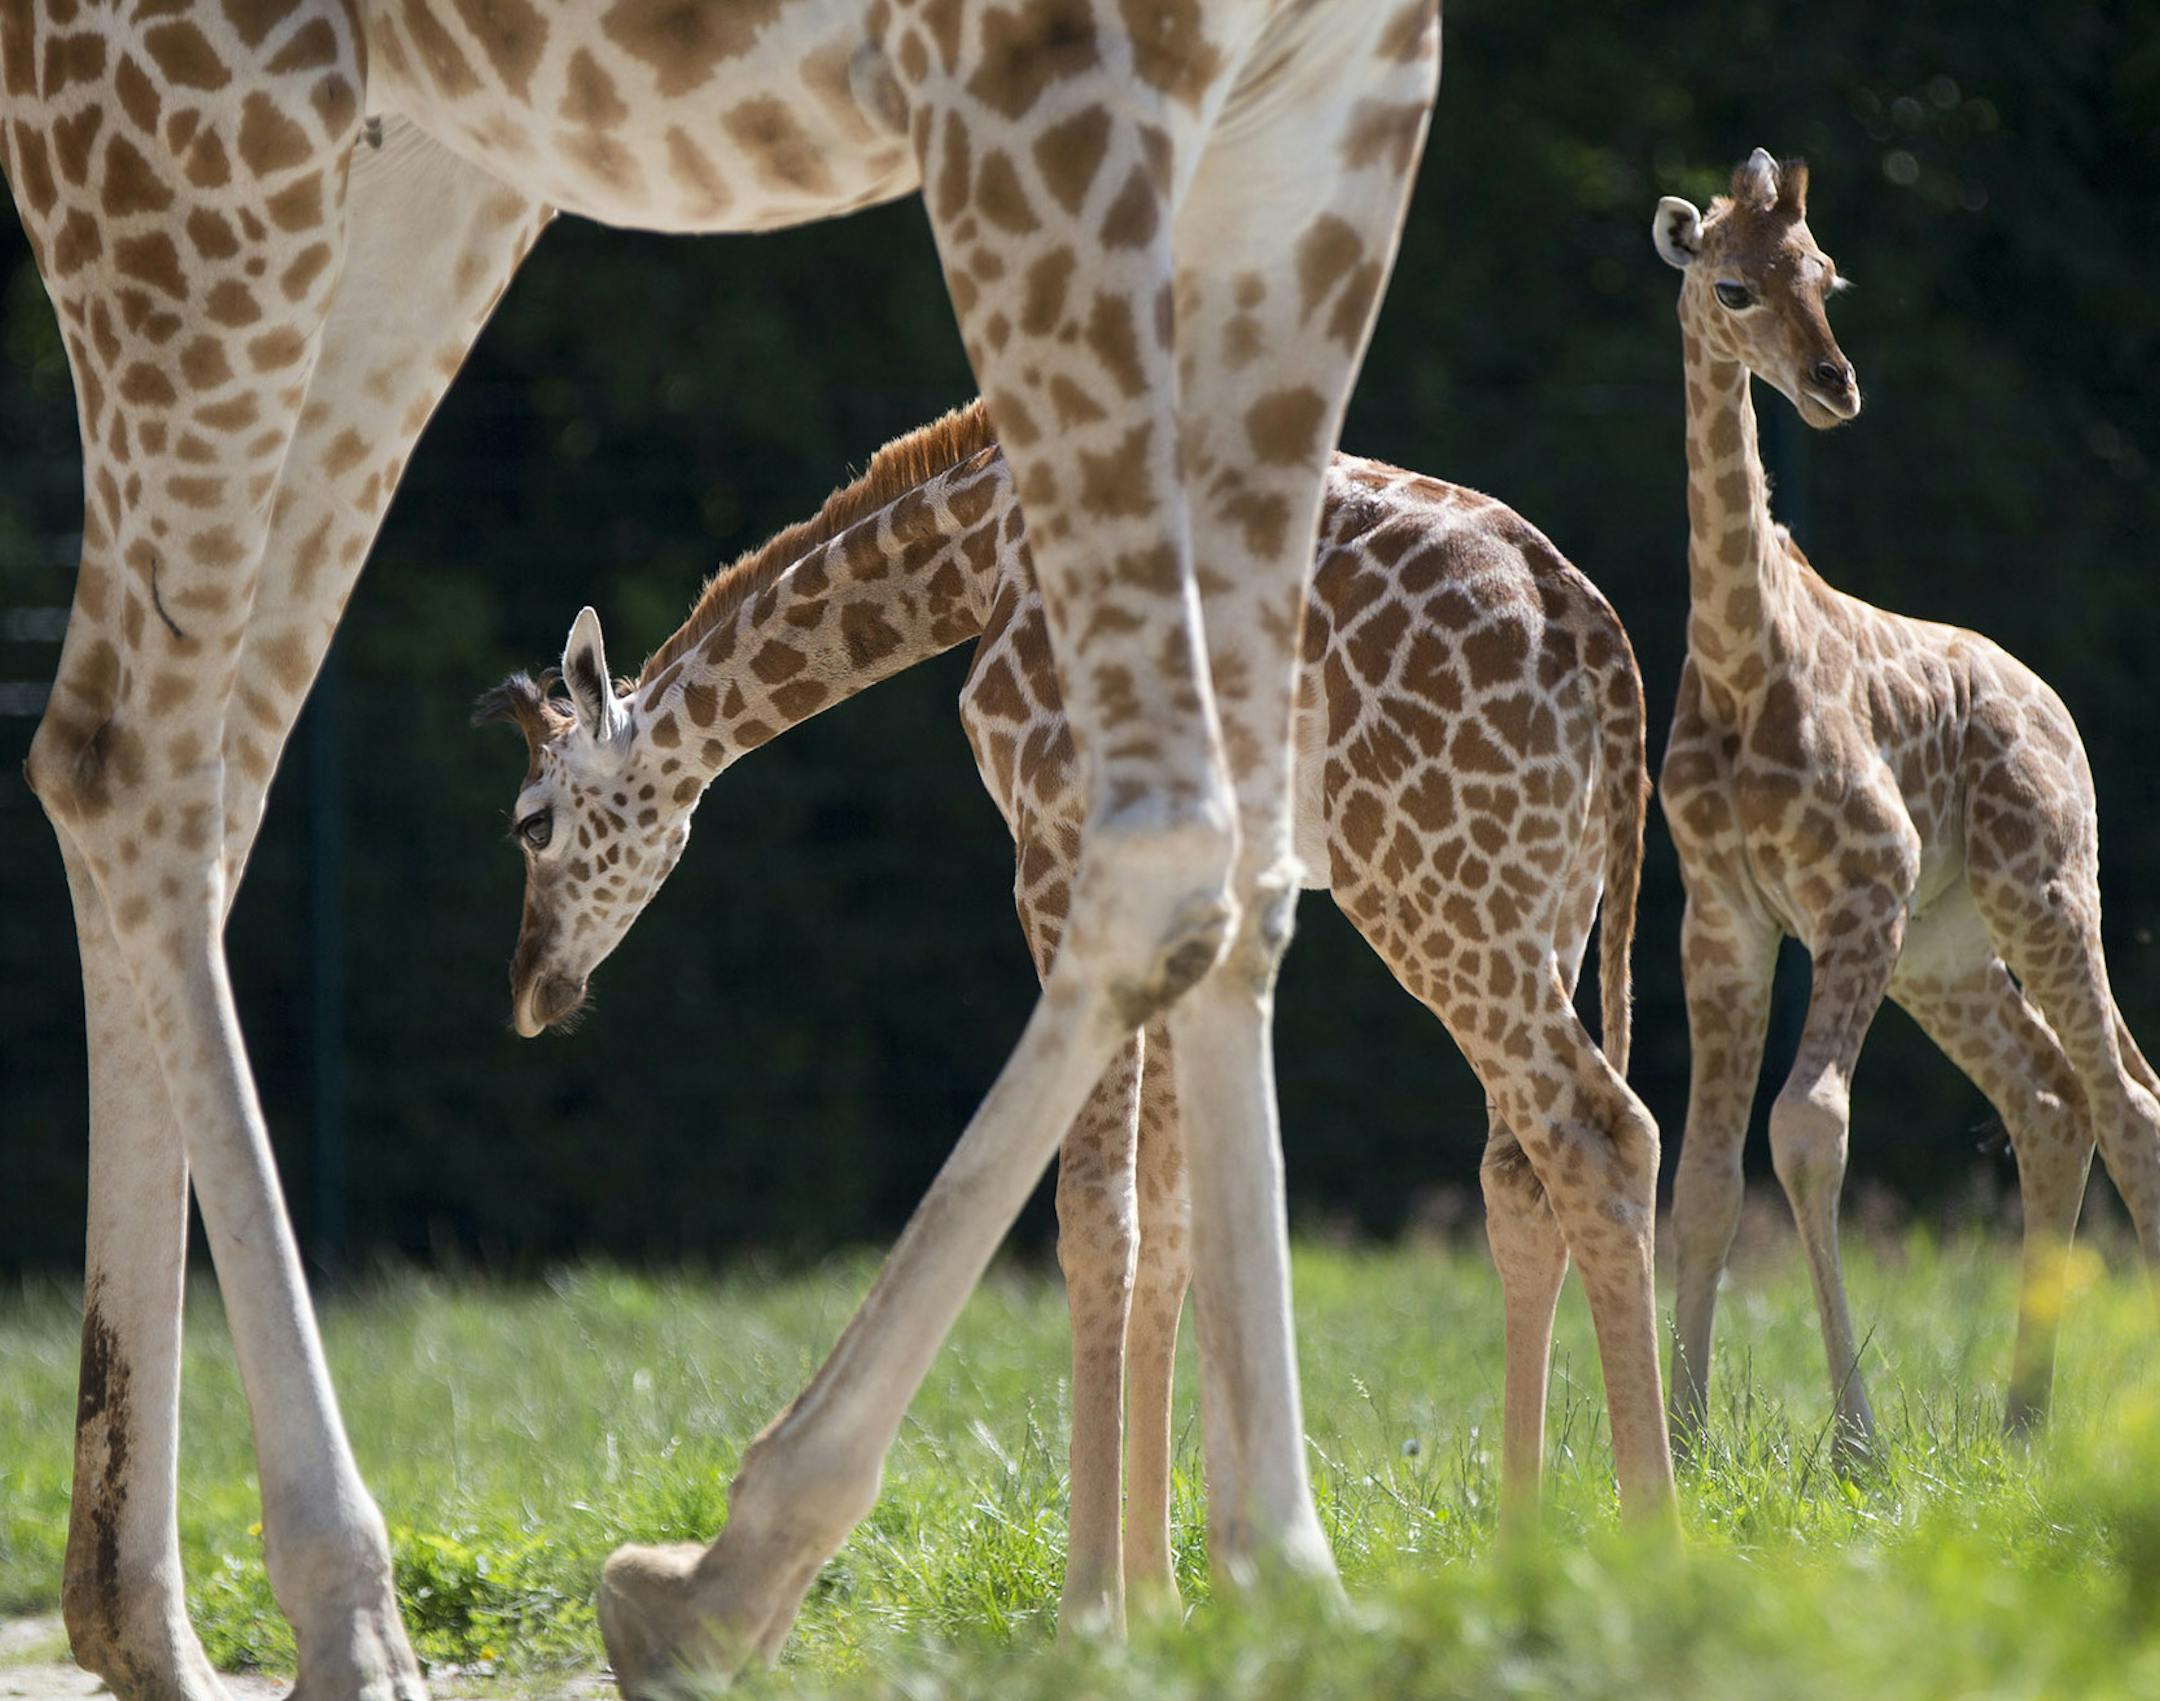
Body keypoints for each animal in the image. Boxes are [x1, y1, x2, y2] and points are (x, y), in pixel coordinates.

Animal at [0, 0, 1441, 1694]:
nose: (532, 991)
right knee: (125, 755)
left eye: (531, 820)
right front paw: (728, 1576)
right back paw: (342, 1609)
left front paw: (1281, 1585)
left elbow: (1240, 887)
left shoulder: (1336, 103)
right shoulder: (1040, 80)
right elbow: (1169, 904)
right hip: (198, 123)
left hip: (409, 171)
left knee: (199, 764)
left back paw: (147, 1615)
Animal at [477, 402, 1679, 1624]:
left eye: (530, 822)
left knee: (1603, 1132)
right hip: (1550, 900)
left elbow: (1098, 1210)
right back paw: (1528, 1552)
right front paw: (1167, 1594)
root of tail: (1598, 642)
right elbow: (1178, 1217)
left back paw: (1651, 1550)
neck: (980, 547)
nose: (531, 987)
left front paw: (1094, 1605)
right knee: (1521, 1175)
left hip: (1436, 884)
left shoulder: (1058, 843)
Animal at [1653, 148, 2160, 1461]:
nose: (1834, 385)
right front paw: (1682, 1440)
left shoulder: (1859, 893)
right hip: (1947, 951)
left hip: (2043, 894)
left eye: (1827, 275)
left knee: (2126, 1098)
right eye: (1731, 286)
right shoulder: (1723, 923)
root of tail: (2055, 708)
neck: (1741, 665)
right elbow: (1709, 1174)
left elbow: (1807, 1129)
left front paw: (1855, 1446)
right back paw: (2022, 1423)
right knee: (2052, 1101)